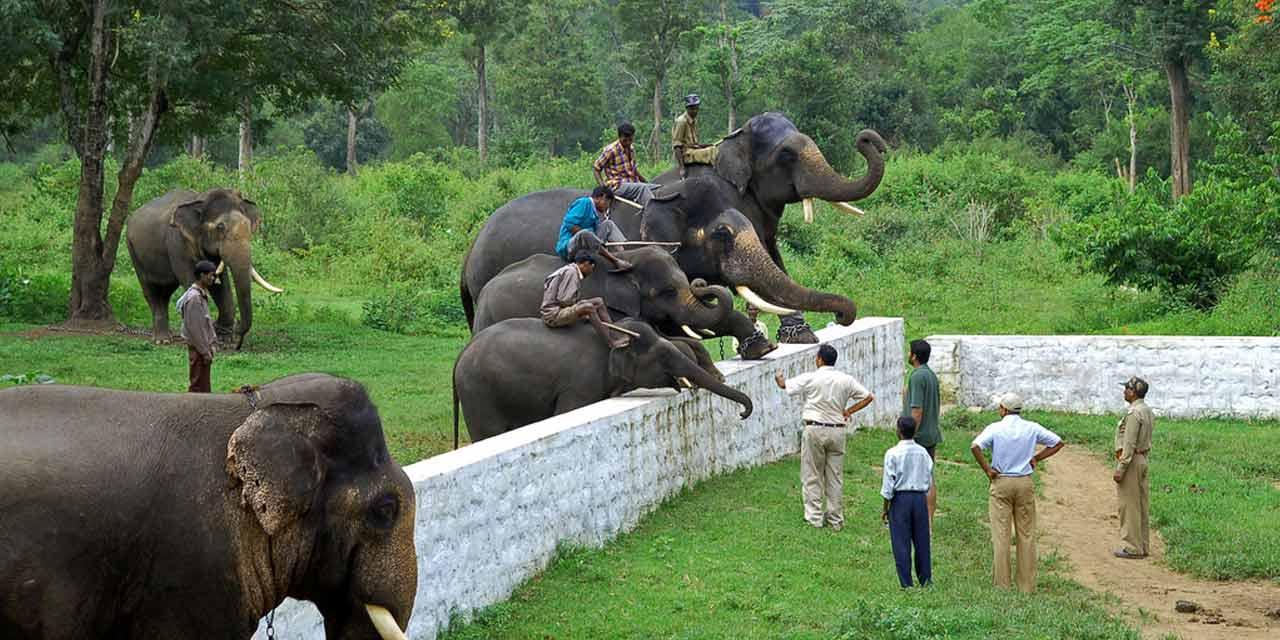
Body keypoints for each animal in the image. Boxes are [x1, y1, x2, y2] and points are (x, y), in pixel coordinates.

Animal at [126, 188, 284, 349]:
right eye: (220, 227)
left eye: (248, 225)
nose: (238, 336)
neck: (201, 198)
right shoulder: (177, 242)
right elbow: (191, 280)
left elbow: (220, 283)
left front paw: (223, 339)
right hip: (133, 250)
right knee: (150, 292)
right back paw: (162, 340)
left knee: (165, 293)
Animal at [452, 318, 752, 443]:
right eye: (664, 356)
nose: (742, 413)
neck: (615, 334)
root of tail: (459, 357)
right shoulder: (579, 385)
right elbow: (566, 411)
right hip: (479, 393)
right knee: (488, 433)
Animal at [459, 112, 885, 344]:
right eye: (786, 155)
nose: (869, 138)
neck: (726, 147)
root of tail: (470, 250)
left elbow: (772, 261)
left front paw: (801, 337)